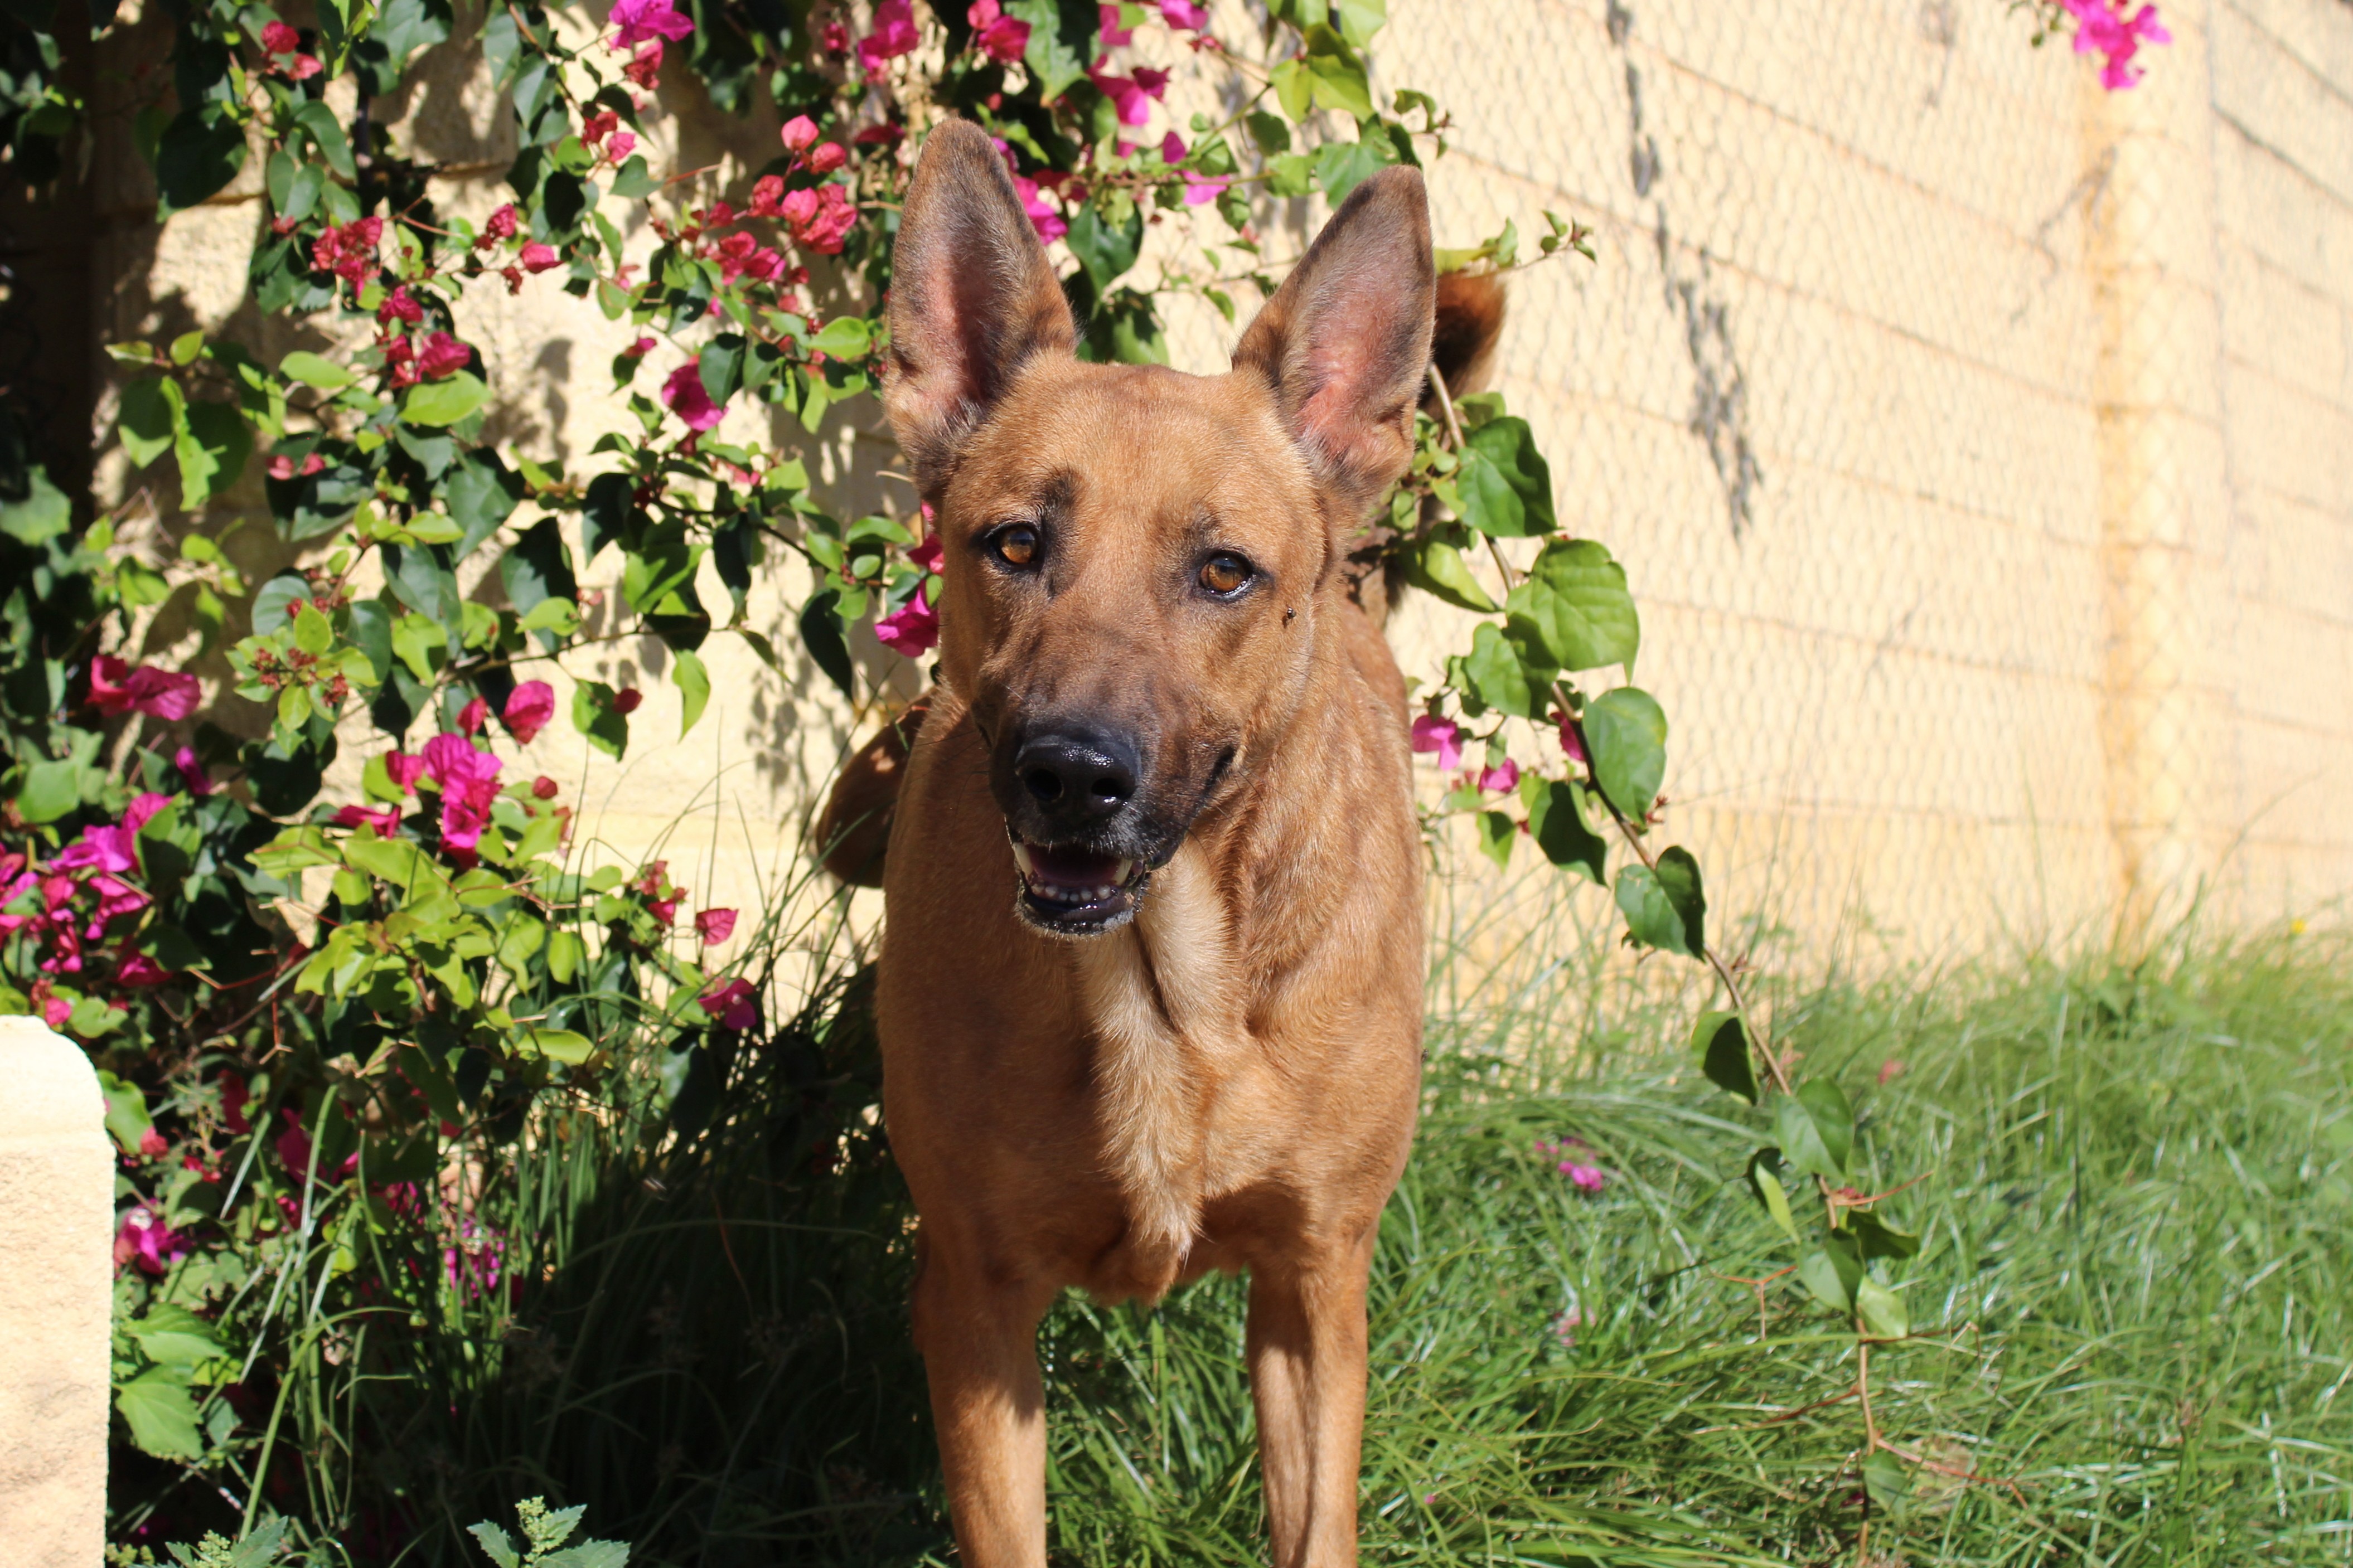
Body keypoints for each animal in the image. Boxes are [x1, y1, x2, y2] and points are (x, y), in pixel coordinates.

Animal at [856, 120, 1430, 1568]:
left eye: (1223, 571)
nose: (1072, 774)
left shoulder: (1313, 1290)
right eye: (1014, 542)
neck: (1163, 985)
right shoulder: (976, 1302)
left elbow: (1316, 1523)